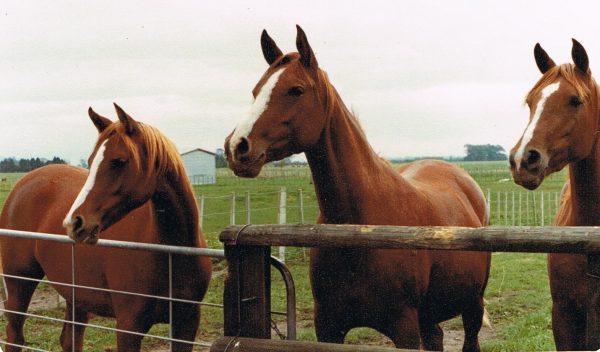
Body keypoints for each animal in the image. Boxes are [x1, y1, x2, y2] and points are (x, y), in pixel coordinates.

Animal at [0, 103, 212, 350]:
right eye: (91, 161)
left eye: (118, 161)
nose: (74, 222)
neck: (170, 252)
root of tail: (21, 185)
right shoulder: (129, 326)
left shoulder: (186, 324)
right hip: (19, 282)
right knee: (15, 337)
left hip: (76, 296)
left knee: (70, 339)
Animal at [225, 26, 492, 350]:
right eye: (256, 90)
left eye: (296, 90)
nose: (237, 147)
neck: (359, 226)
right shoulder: (328, 327)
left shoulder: (404, 328)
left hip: (472, 304)